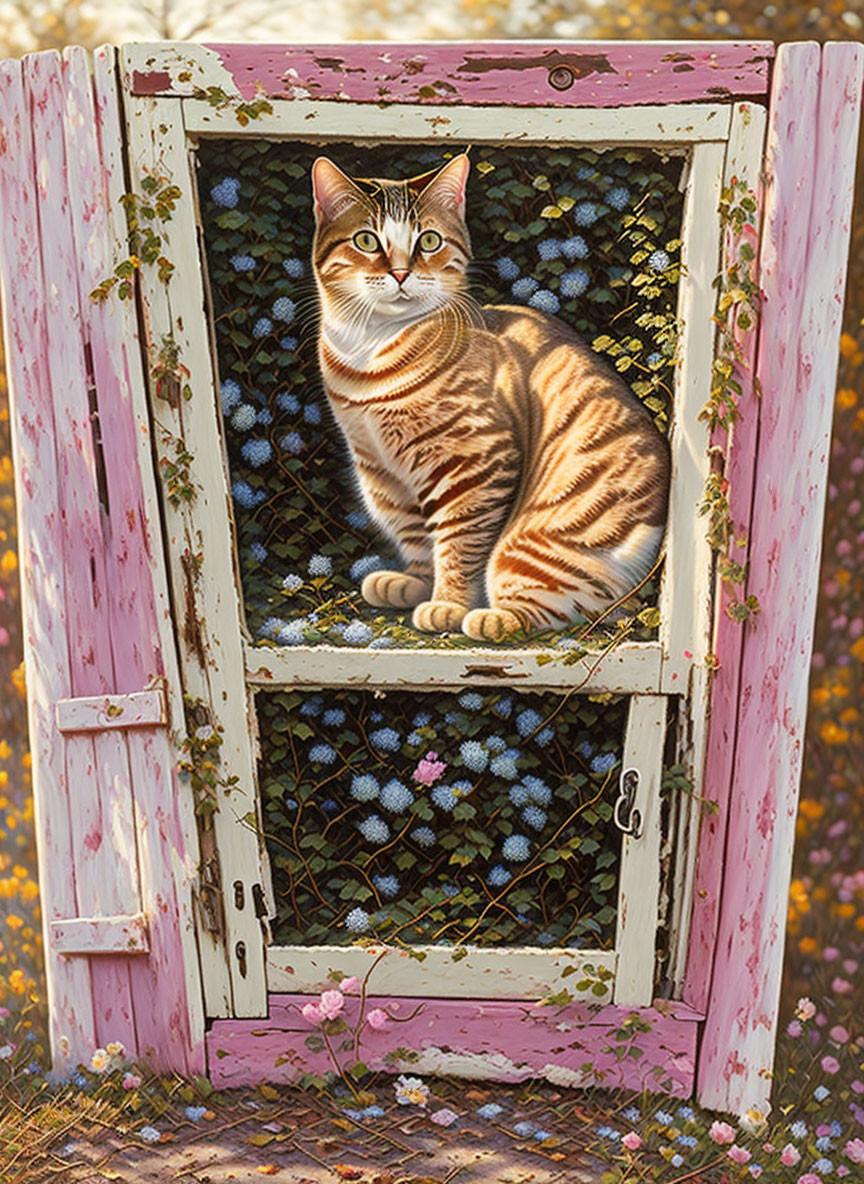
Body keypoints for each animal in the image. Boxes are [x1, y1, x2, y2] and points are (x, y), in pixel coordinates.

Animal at [310, 156, 667, 644]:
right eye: (366, 240)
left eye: (429, 240)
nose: (400, 274)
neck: (367, 352)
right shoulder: (385, 474)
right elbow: (417, 536)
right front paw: (416, 584)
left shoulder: (473, 465)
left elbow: (458, 542)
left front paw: (447, 603)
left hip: (526, 546)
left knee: (563, 609)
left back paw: (490, 617)